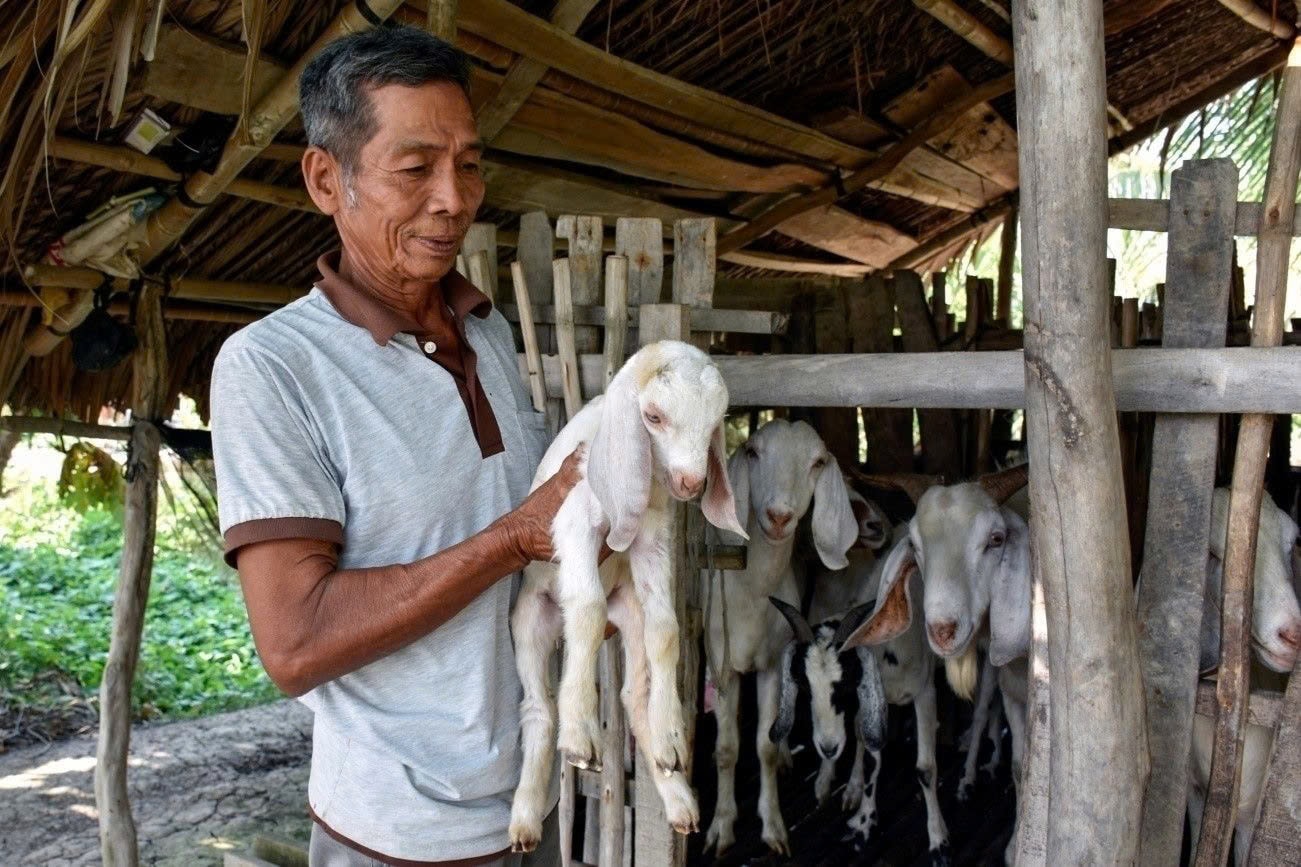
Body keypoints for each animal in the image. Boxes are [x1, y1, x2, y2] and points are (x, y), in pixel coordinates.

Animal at [509, 341, 749, 848]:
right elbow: (587, 609)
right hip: (530, 619)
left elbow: (668, 628)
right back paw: (525, 818)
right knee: (538, 708)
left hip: (630, 612)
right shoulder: (572, 521)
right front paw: (581, 734)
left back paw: (672, 775)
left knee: (634, 693)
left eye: (716, 422)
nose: (692, 483)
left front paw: (670, 735)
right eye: (653, 416)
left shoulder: (652, 536)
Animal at [697, 419, 858, 848]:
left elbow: (764, 746)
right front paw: (721, 827)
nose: (779, 516)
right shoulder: (721, 662)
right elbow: (726, 748)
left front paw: (771, 826)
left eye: (817, 462)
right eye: (753, 452)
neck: (751, 590)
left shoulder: (771, 661)